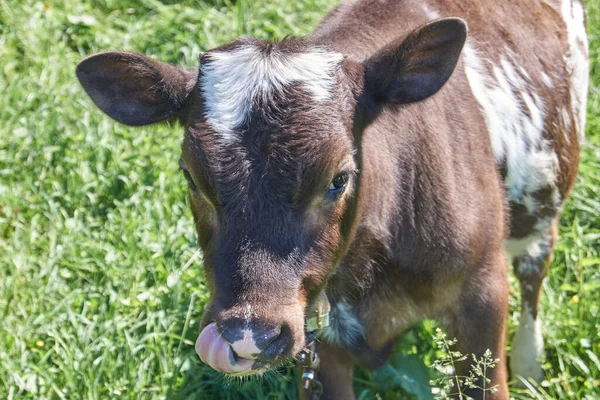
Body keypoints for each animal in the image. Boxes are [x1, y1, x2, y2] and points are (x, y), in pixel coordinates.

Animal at [76, 0, 592, 396]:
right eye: (191, 178)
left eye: (339, 179)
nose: (248, 336)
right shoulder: (316, 339)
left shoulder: (482, 294)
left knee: (535, 268)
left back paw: (530, 364)